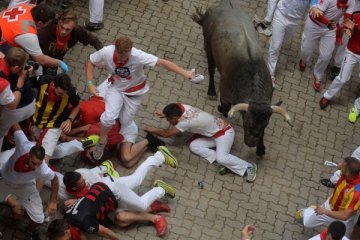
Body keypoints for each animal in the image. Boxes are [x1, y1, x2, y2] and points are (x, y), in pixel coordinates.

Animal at [193, 1, 292, 156]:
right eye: (247, 122)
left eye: (265, 125)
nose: (251, 143)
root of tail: (222, 5)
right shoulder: (225, 94)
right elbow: (226, 108)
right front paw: (220, 108)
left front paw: (261, 148)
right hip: (207, 45)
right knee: (211, 68)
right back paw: (211, 92)